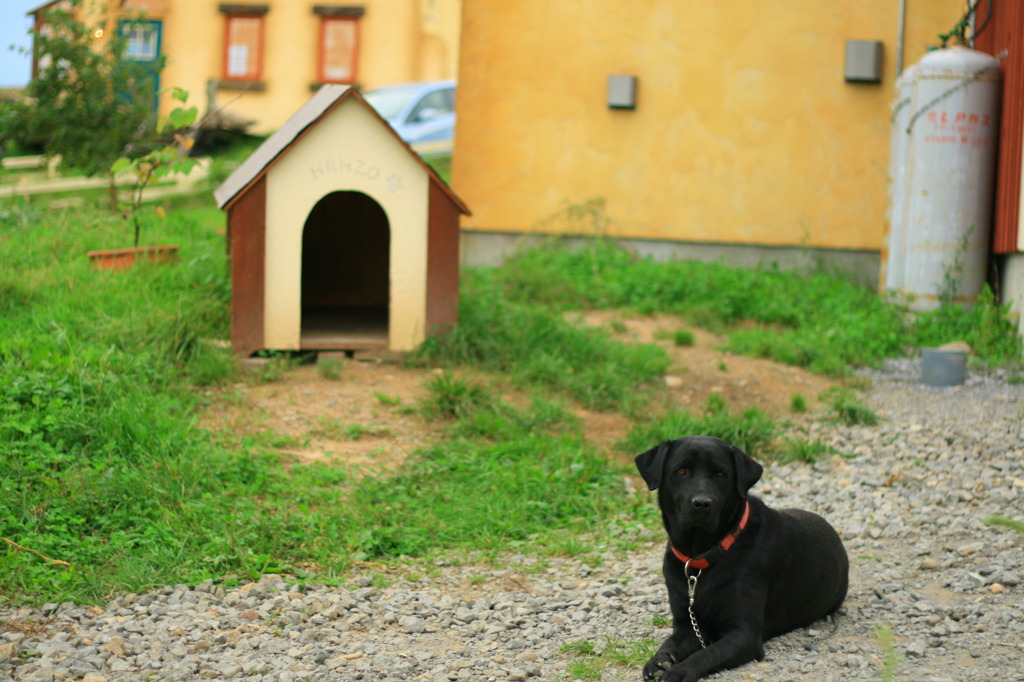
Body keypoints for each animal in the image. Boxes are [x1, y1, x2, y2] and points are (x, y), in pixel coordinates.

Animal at [630, 436, 847, 679]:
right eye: (681, 471)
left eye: (720, 474)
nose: (702, 503)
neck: (701, 555)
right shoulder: (688, 624)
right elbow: (669, 643)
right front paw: (658, 661)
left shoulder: (744, 634)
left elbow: (707, 654)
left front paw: (679, 671)